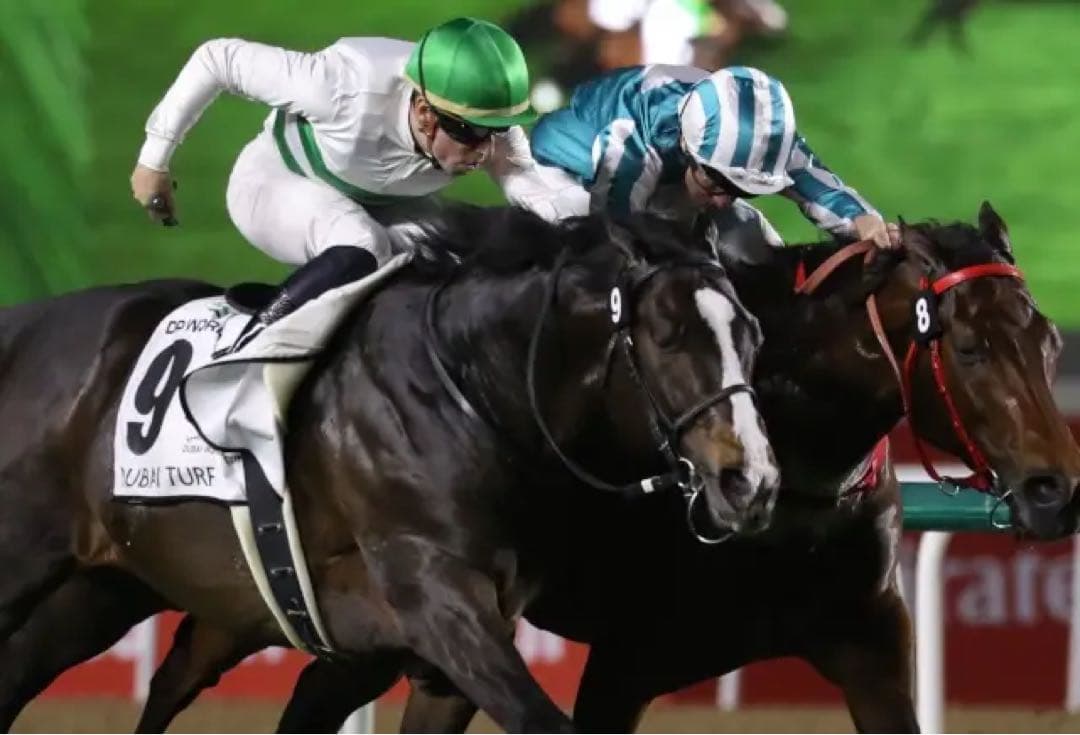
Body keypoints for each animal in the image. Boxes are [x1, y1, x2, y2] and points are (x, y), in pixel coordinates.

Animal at [0, 208, 781, 732]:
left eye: (752, 332)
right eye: (667, 336)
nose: (752, 481)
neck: (467, 392)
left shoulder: (438, 656)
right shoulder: (439, 604)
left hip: (106, 587)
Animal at [116, 201, 1079, 733]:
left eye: (1046, 339)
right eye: (968, 347)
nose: (1052, 489)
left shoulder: (870, 642)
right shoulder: (627, 660)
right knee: (176, 678)